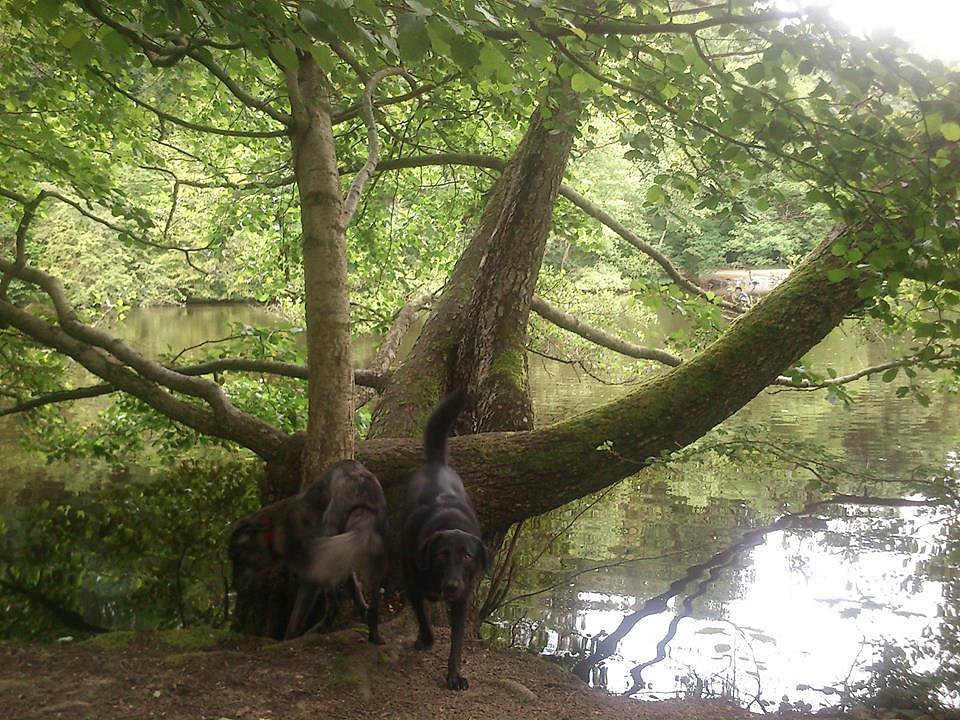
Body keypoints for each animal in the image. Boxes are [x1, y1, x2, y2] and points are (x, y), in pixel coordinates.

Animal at [229, 458, 386, 644]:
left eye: (238, 557)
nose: (234, 587)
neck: (274, 530)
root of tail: (362, 483)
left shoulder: (311, 573)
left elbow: (296, 618)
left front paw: (288, 639)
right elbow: (355, 588)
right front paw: (363, 613)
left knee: (333, 605)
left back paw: (319, 629)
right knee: (373, 603)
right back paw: (374, 635)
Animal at [400, 390, 488, 688]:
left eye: (468, 555)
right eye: (441, 554)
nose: (451, 586)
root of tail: (437, 463)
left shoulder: (463, 598)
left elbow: (457, 641)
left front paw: (454, 675)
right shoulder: (412, 579)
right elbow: (422, 616)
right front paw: (425, 640)